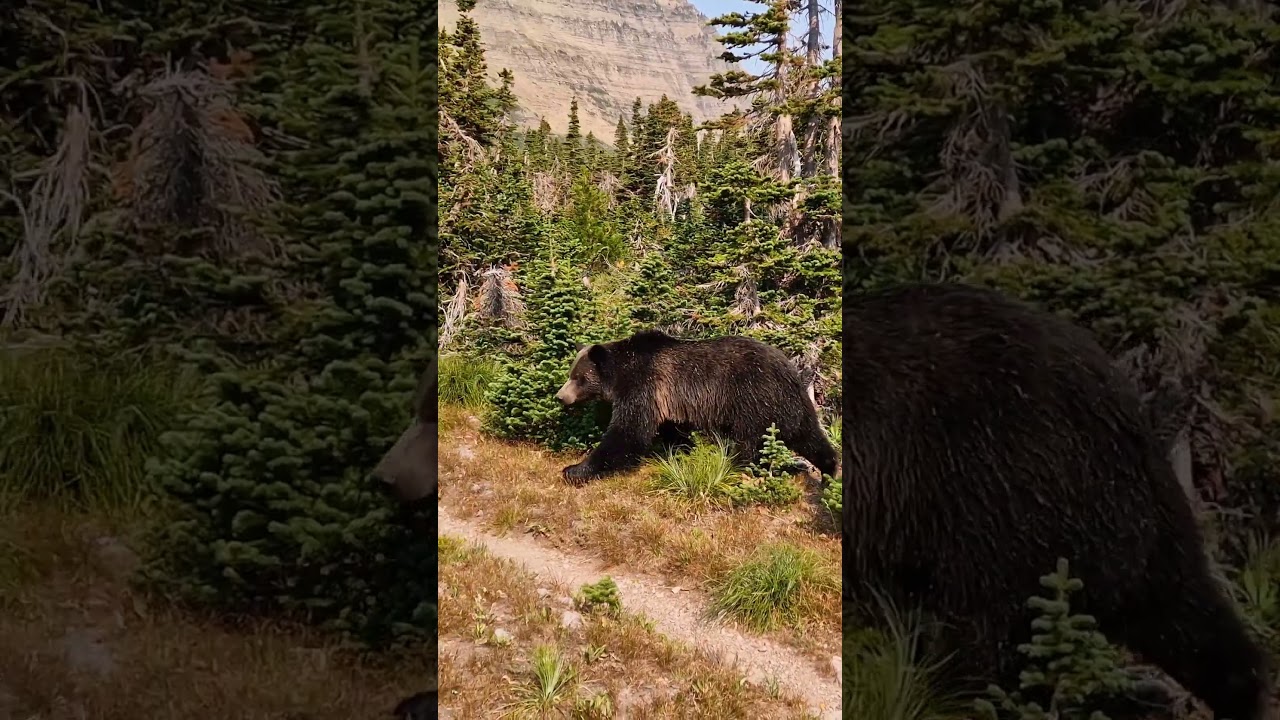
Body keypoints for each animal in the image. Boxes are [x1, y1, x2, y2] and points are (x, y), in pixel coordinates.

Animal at [555, 329, 839, 485]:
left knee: (750, 442)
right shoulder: (668, 403)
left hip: (753, 398)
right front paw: (681, 452)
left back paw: (742, 467)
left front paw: (574, 469)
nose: (560, 396)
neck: (621, 374)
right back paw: (829, 471)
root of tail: (789, 368)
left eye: (578, 377)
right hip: (789, 405)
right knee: (808, 435)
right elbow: (673, 431)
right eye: (571, 373)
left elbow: (628, 432)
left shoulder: (644, 385)